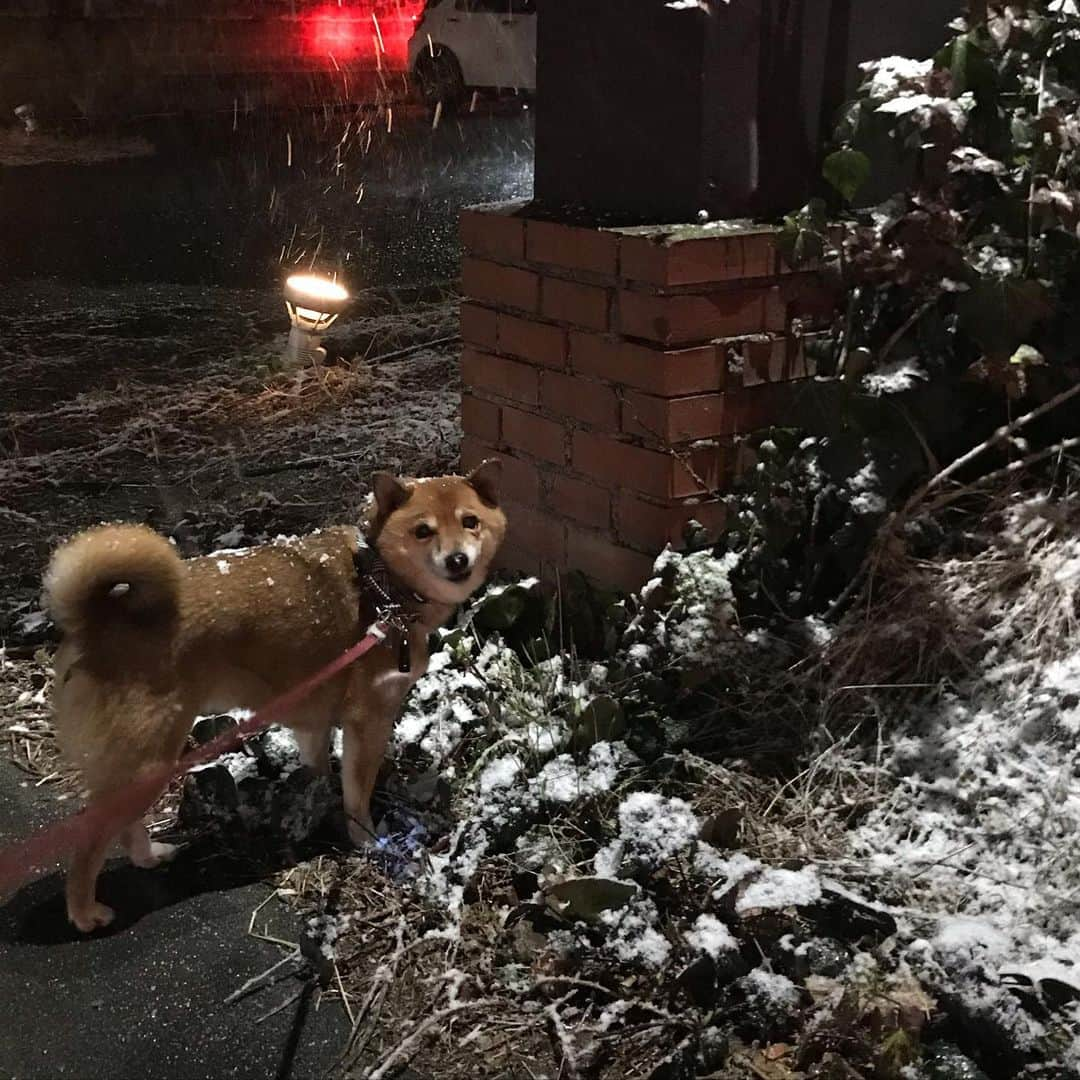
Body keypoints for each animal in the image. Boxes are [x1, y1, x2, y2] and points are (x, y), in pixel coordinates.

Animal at [44, 460, 507, 933]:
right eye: (422, 531)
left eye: (470, 521)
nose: (457, 560)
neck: (380, 582)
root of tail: (94, 625)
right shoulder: (368, 722)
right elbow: (357, 796)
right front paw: (364, 838)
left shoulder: (313, 723)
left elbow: (320, 773)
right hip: (147, 760)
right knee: (90, 838)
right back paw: (85, 912)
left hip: (145, 765)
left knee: (124, 825)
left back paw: (149, 857)